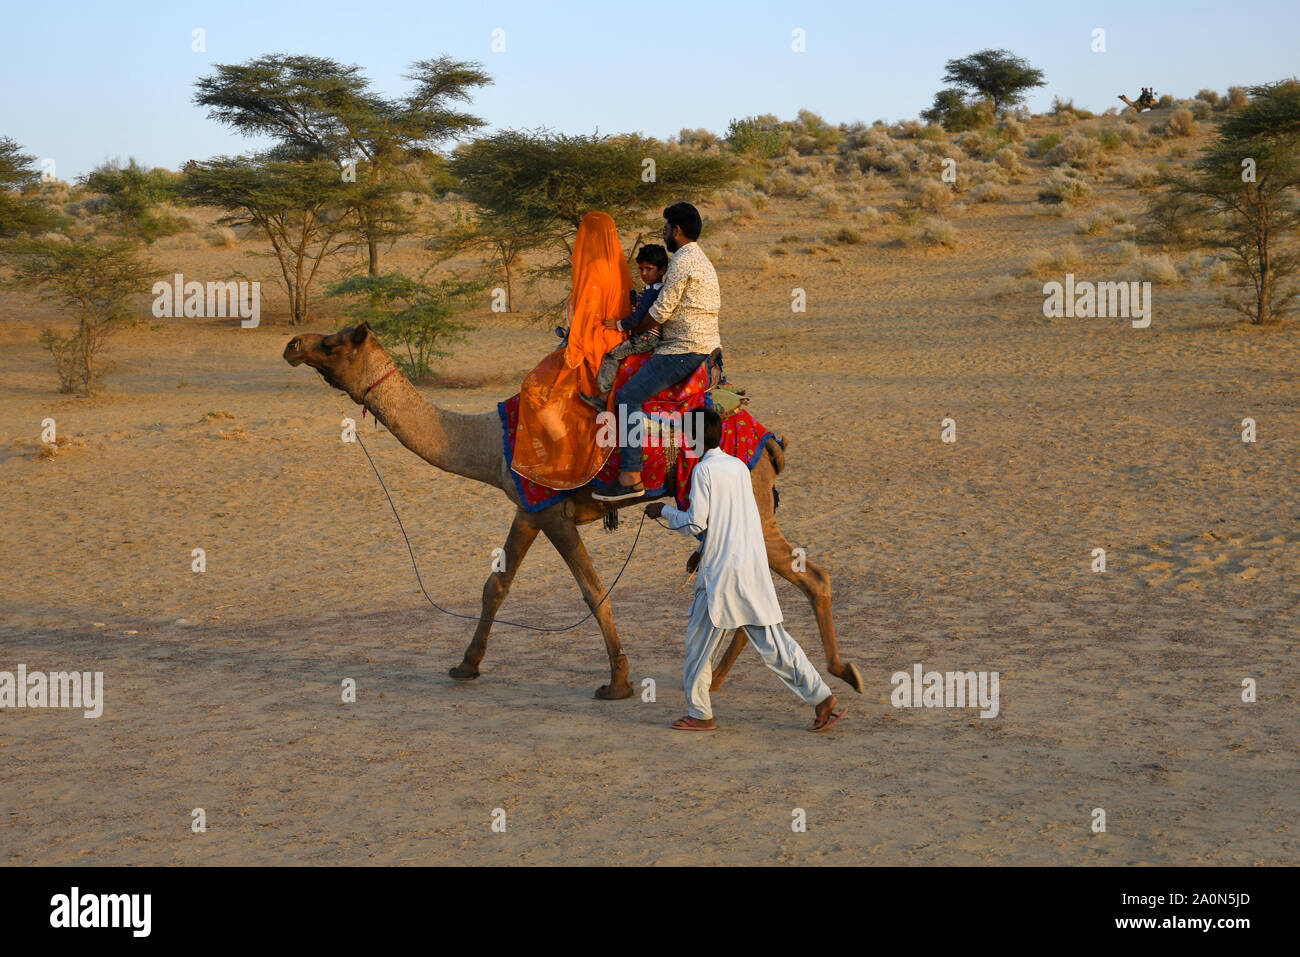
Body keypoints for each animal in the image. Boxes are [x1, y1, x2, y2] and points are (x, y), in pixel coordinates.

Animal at [284, 323, 863, 702]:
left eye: (334, 342)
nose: (293, 344)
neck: (491, 442)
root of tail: (770, 441)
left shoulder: (553, 515)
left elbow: (591, 589)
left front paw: (618, 682)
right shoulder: (529, 507)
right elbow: (495, 586)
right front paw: (465, 666)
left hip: (749, 504)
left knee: (810, 575)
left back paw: (843, 671)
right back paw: (718, 680)